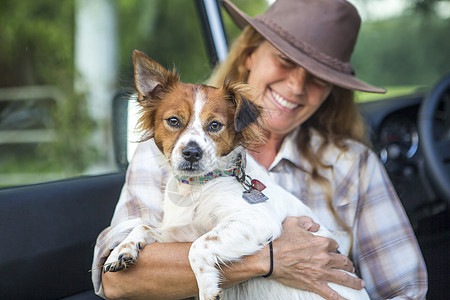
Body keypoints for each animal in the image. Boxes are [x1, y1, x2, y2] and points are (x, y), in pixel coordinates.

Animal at [104, 49, 370, 300]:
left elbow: (197, 247)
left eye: (214, 125)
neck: (200, 187)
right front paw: (121, 250)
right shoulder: (185, 231)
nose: (192, 153)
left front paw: (207, 288)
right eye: (173, 121)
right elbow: (144, 227)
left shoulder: (256, 220)